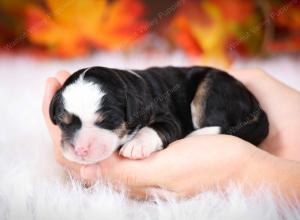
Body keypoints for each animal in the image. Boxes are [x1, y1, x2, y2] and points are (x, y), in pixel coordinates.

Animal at [49, 66, 270, 164]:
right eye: (63, 123)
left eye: (107, 121)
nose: (80, 150)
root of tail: (257, 106)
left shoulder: (169, 119)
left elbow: (153, 129)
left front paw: (135, 146)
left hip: (211, 90)